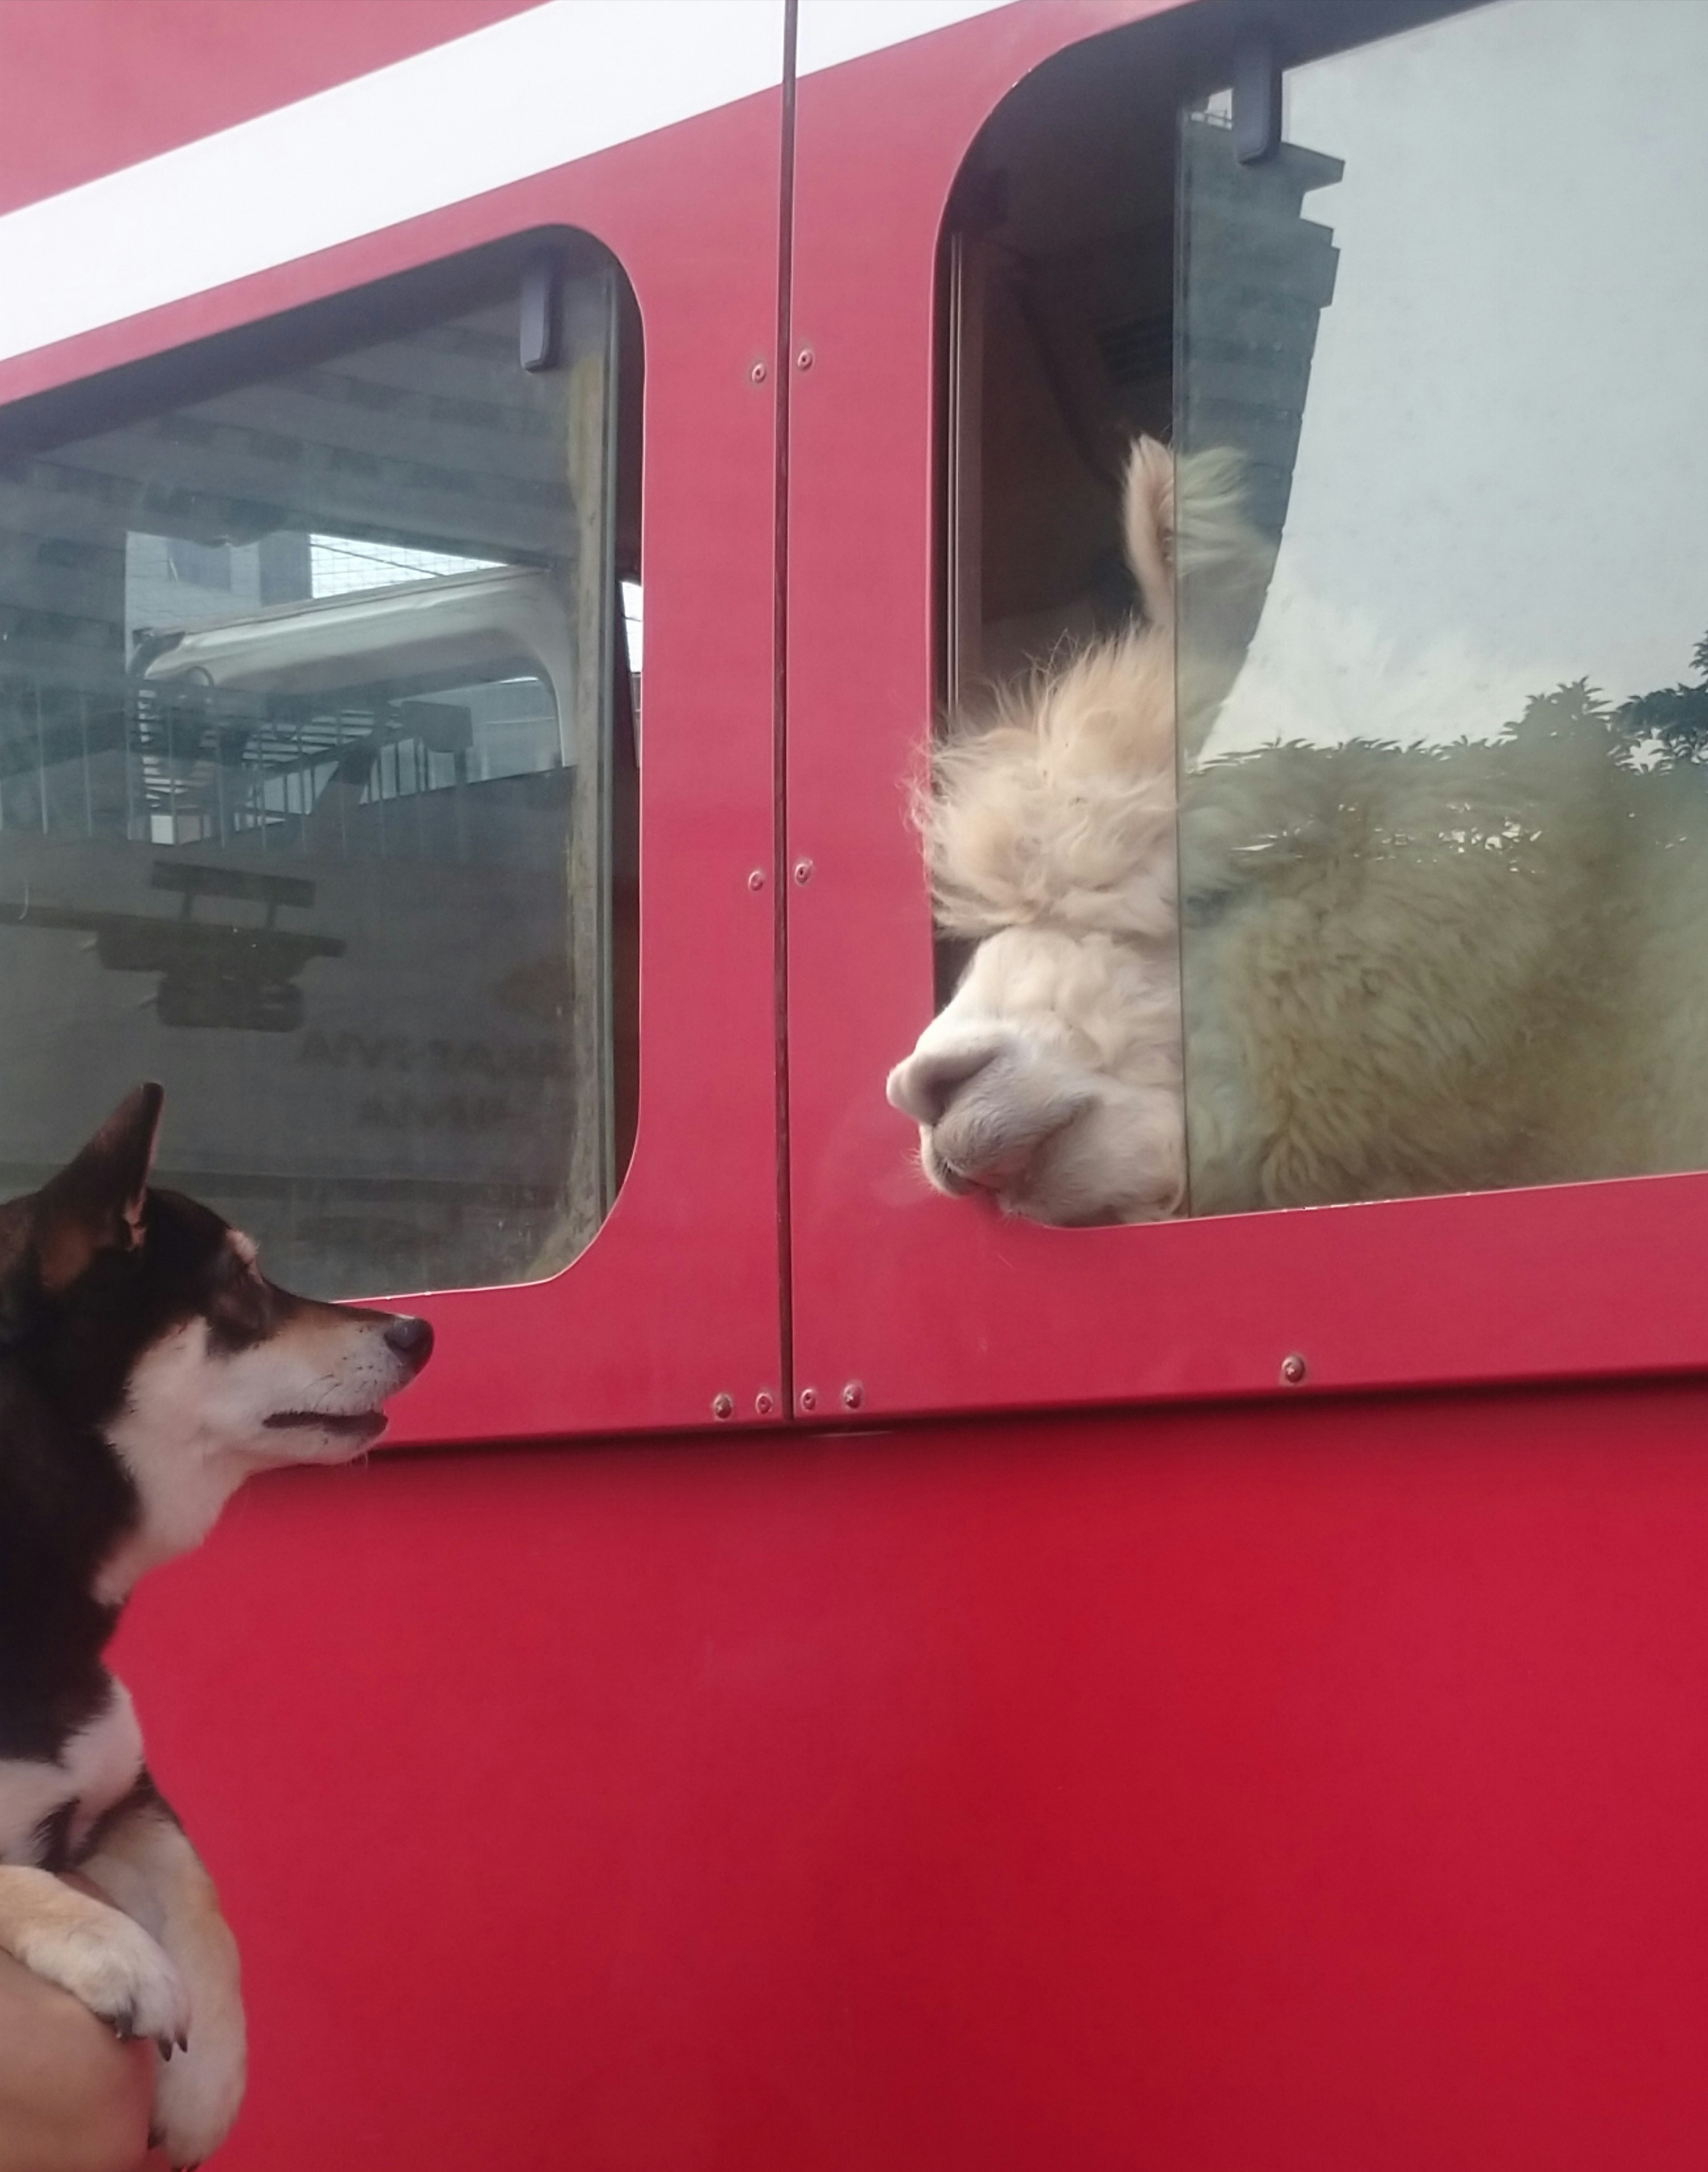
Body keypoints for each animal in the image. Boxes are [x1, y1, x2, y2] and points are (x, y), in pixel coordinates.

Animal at [0, 1095, 432, 2163]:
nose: (420, 1327)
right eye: (240, 1284)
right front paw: (109, 1943)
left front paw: (209, 2084)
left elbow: (203, 1896)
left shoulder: (124, 1792)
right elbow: (9, 1873)